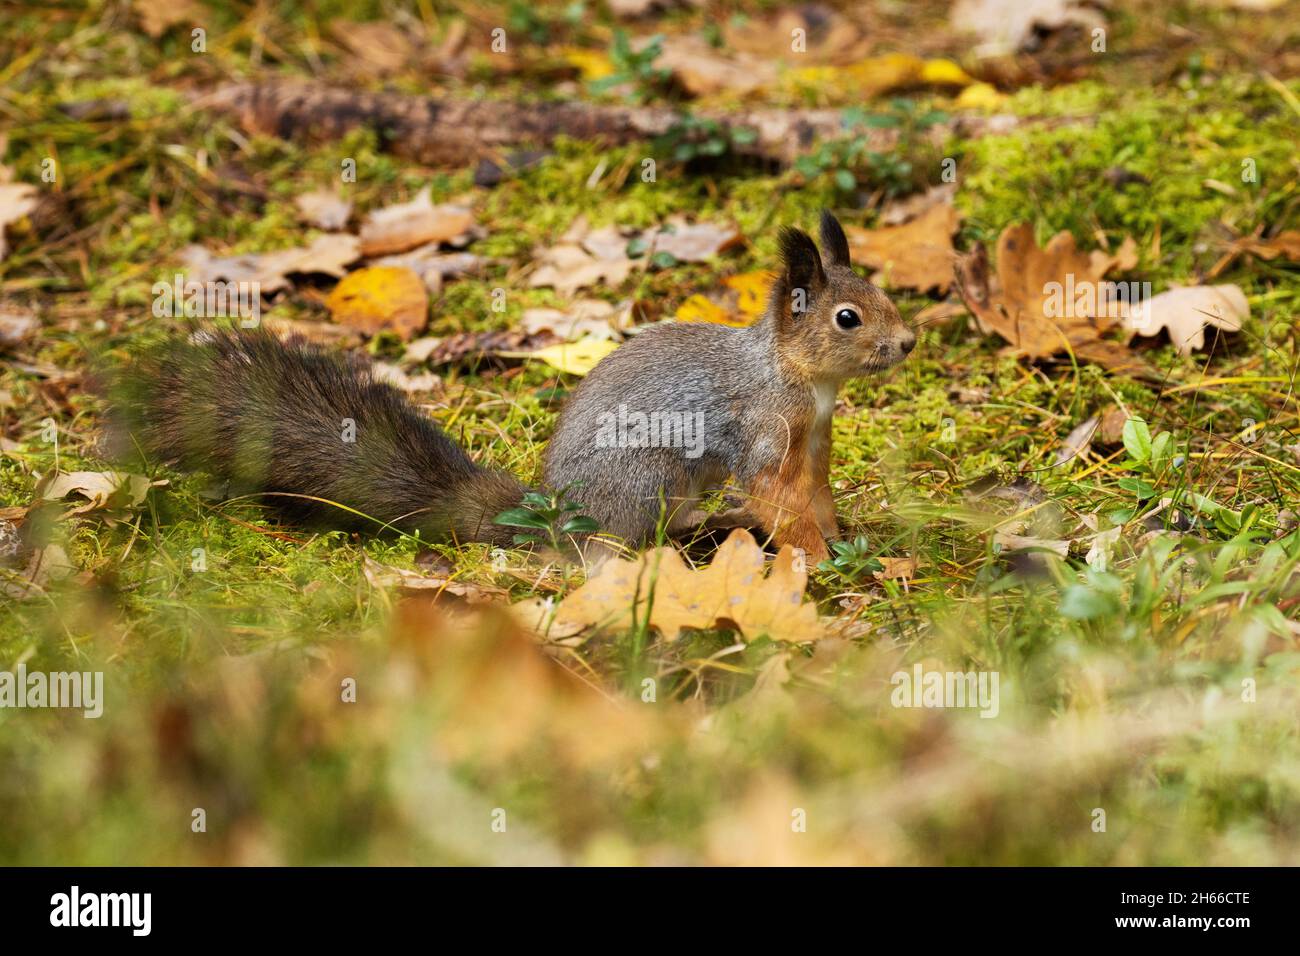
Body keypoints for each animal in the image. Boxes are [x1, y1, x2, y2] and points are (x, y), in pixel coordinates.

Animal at [114, 211, 915, 563]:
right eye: (847, 317)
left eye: (881, 293)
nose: (907, 342)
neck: (797, 377)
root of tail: (557, 518)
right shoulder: (763, 430)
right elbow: (780, 499)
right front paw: (820, 560)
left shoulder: (814, 441)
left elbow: (815, 495)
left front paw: (848, 541)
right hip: (646, 479)